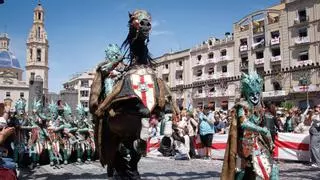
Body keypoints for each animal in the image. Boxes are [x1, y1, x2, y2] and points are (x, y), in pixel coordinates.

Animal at [90, 9, 180, 179]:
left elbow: (167, 110)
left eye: (149, 17)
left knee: (129, 154)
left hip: (124, 136)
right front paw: (146, 136)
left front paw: (166, 139)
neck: (140, 67)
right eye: (133, 19)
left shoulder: (159, 99)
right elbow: (143, 110)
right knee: (120, 155)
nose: (145, 24)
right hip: (116, 134)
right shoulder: (123, 103)